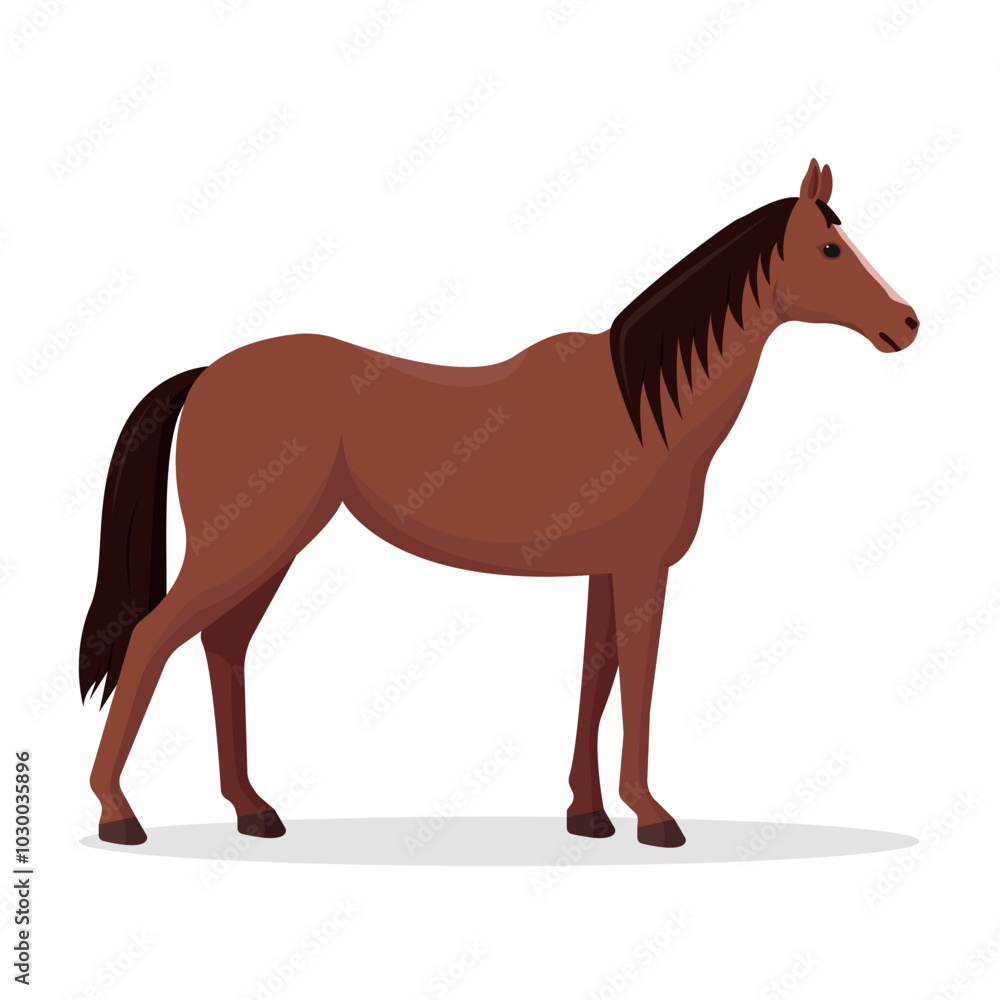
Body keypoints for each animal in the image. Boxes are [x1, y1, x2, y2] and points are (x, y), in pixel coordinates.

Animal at [80, 159, 919, 848]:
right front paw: (652, 816)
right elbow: (637, 683)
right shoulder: (642, 569)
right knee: (153, 641)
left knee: (222, 646)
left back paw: (253, 811)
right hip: (244, 543)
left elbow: (596, 676)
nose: (907, 323)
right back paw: (119, 814)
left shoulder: (604, 571)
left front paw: (589, 814)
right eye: (831, 250)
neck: (644, 408)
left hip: (269, 547)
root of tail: (208, 373)